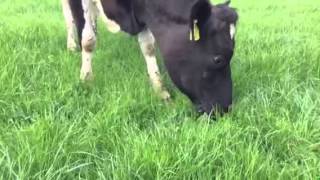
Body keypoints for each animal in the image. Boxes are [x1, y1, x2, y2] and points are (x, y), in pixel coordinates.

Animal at [62, 0, 238, 115]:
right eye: (218, 59)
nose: (225, 109)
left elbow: (148, 47)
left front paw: (160, 90)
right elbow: (88, 40)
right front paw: (86, 78)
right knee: (69, 17)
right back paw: (71, 46)